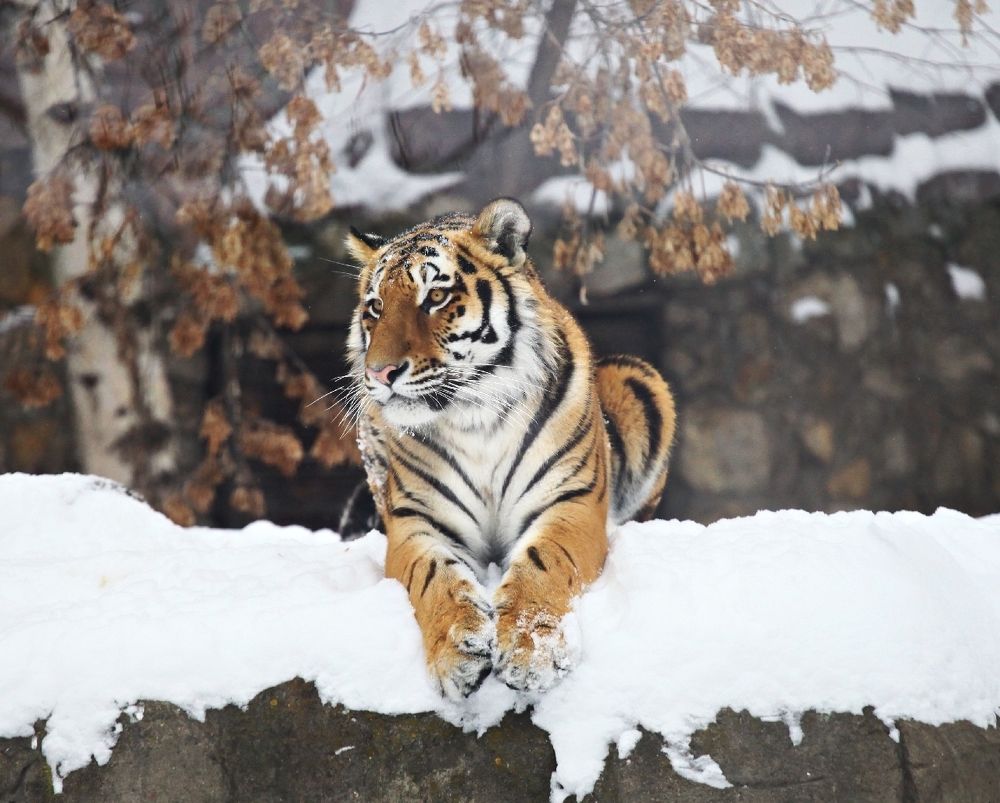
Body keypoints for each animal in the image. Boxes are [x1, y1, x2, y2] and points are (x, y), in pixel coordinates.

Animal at [345, 198, 676, 700]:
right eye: (376, 307)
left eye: (435, 297)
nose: (380, 373)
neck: (473, 415)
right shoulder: (416, 523)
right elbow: (434, 575)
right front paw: (458, 651)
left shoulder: (570, 502)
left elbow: (544, 561)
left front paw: (530, 651)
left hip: (640, 379)